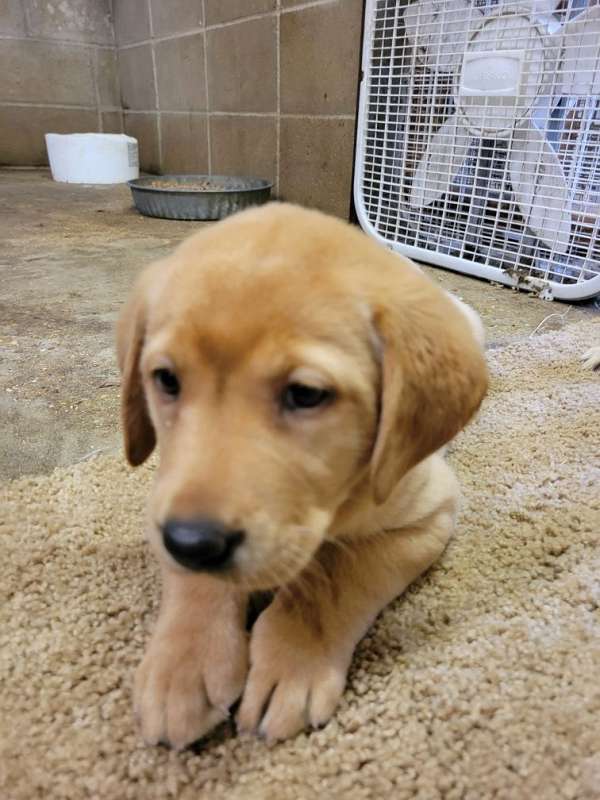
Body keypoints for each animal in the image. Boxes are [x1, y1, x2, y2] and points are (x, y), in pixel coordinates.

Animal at [116, 205, 488, 752]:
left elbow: (335, 575)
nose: (192, 542)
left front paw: (292, 663)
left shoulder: (427, 514)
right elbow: (193, 577)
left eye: (306, 394)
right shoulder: (167, 497)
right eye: (166, 380)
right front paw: (181, 666)